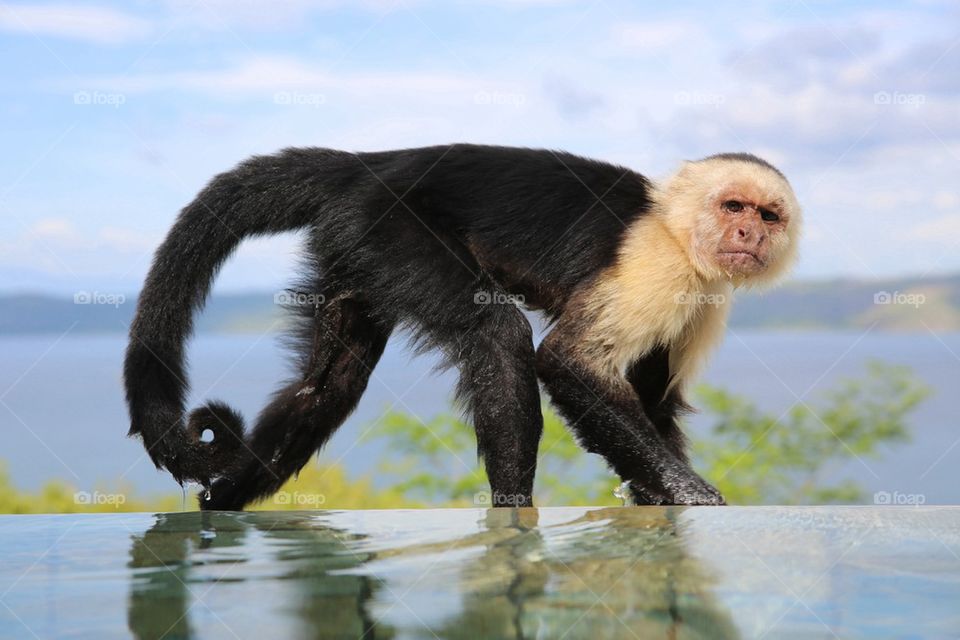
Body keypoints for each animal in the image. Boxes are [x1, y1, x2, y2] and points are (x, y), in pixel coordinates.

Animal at [123, 144, 801, 510]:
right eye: (732, 206)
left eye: (769, 215)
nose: (749, 234)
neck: (675, 230)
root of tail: (369, 165)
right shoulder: (658, 263)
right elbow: (567, 360)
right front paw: (690, 494)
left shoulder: (704, 297)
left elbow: (654, 401)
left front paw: (658, 496)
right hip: (389, 224)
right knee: (497, 332)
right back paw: (512, 511)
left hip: (354, 245)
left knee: (328, 386)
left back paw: (225, 499)